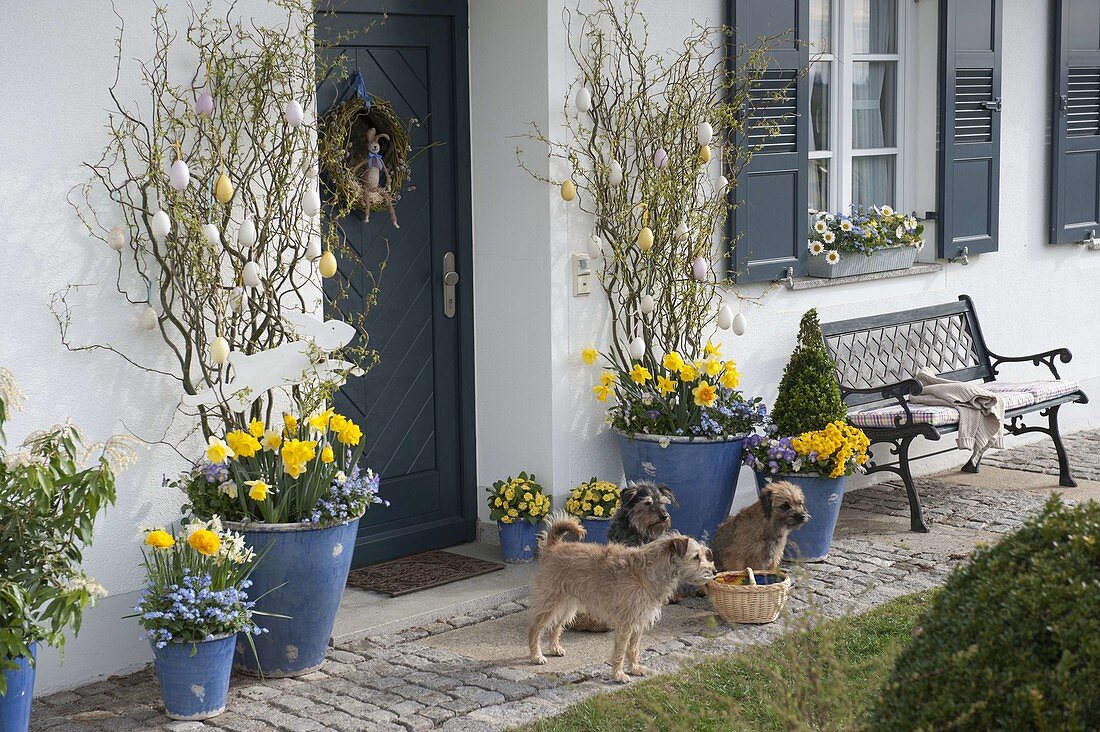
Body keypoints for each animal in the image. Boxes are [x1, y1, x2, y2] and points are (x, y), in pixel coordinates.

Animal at [528, 510, 717, 682]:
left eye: (704, 554)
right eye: (696, 557)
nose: (715, 571)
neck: (648, 571)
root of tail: (554, 546)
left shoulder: (639, 621)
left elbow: (634, 649)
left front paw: (634, 668)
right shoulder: (626, 623)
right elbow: (620, 650)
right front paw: (618, 675)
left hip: (568, 605)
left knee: (555, 626)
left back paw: (554, 648)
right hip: (549, 602)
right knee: (535, 629)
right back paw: (536, 656)